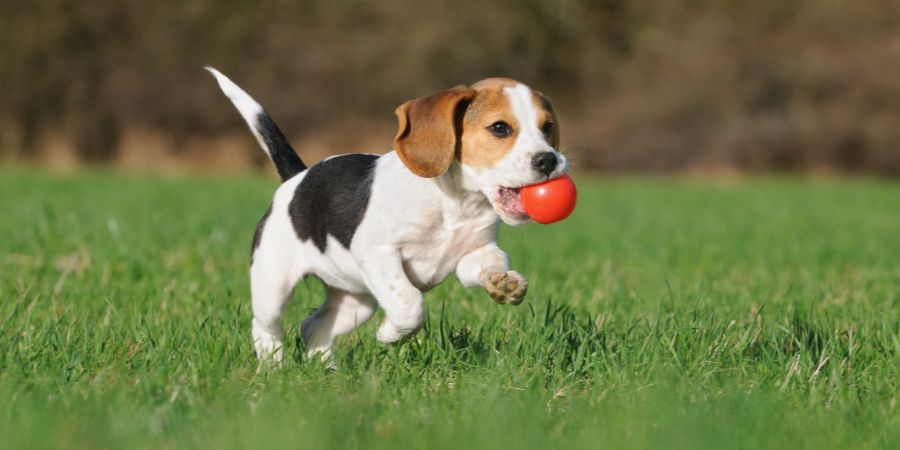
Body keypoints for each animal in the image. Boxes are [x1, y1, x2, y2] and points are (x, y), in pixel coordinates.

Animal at [207, 67, 568, 362]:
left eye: (548, 127)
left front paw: (503, 283)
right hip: (273, 285)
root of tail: (298, 177)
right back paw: (273, 368)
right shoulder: (379, 253)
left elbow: (489, 263)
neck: (455, 202)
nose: (549, 160)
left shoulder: (474, 254)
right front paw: (390, 335)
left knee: (313, 326)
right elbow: (410, 304)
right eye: (500, 128)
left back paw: (326, 372)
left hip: (355, 301)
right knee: (266, 328)